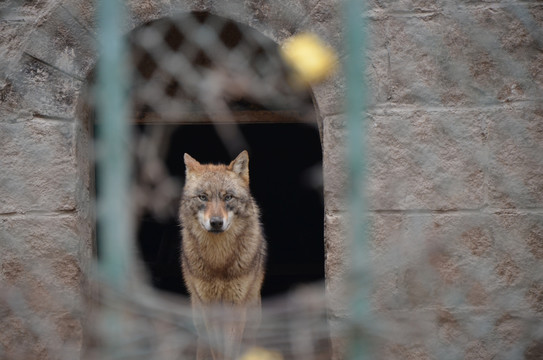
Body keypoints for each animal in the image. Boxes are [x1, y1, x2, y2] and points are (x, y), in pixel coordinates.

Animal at [180, 150, 266, 358]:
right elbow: (216, 347)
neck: (218, 260)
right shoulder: (208, 304)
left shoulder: (236, 303)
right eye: (203, 197)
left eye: (228, 197)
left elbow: (231, 346)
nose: (216, 222)